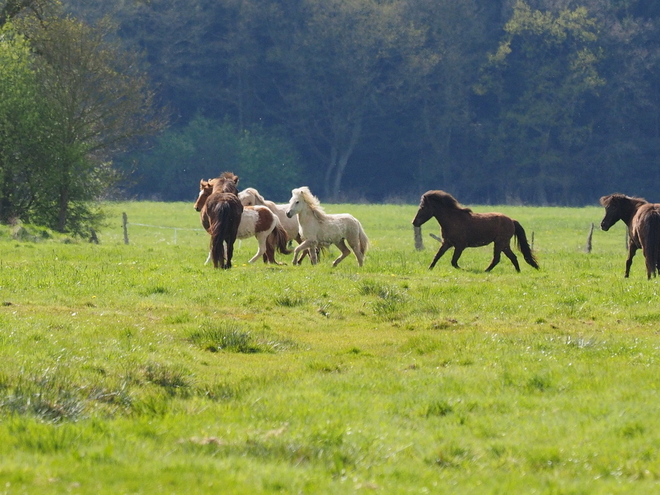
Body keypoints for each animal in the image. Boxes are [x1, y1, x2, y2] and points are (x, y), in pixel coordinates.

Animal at [410, 191, 540, 276]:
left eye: (422, 207)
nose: (414, 222)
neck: (452, 219)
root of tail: (512, 220)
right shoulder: (446, 243)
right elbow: (437, 256)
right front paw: (429, 269)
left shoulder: (460, 246)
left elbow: (454, 262)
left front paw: (465, 270)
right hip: (504, 244)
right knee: (512, 257)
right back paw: (518, 272)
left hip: (500, 243)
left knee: (497, 258)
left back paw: (485, 271)